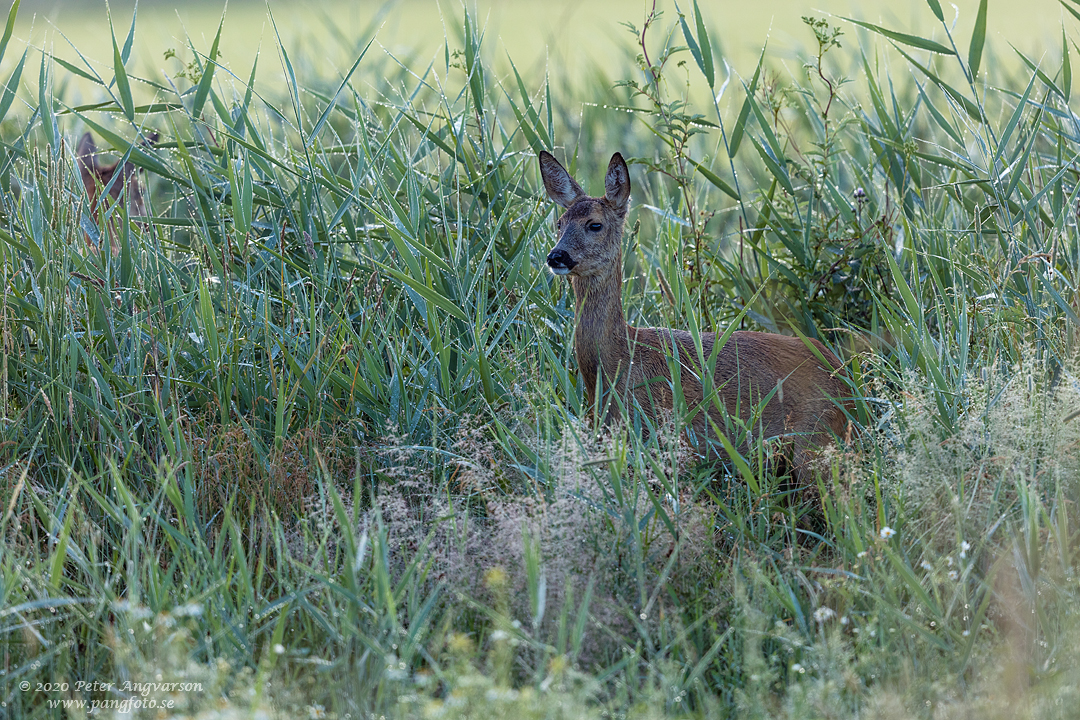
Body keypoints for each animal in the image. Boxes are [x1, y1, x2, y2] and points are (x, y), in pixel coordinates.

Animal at [540, 151, 851, 479]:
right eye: (559, 223)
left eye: (595, 224)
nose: (556, 256)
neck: (620, 360)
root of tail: (844, 378)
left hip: (814, 440)